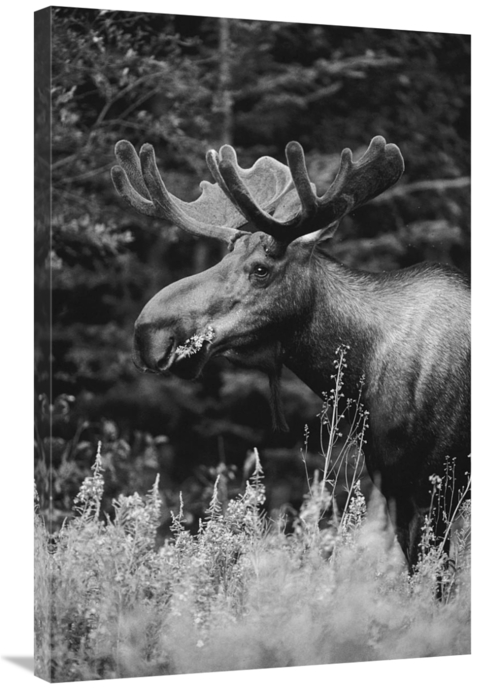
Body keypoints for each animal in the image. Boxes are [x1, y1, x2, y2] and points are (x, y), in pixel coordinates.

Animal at [111, 135, 470, 572]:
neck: (363, 376)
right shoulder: (394, 486)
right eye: (223, 258)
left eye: (261, 269)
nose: (149, 333)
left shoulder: (436, 485)